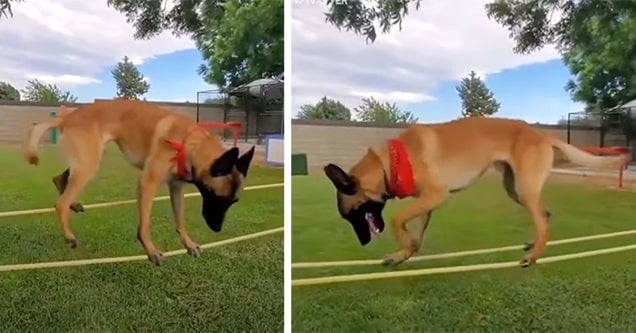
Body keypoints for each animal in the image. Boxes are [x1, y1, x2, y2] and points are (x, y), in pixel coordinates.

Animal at [22, 98, 256, 264]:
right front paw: (151, 250)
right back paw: (69, 233)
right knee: (60, 203)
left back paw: (73, 202)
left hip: (90, 159)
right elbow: (145, 224)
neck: (189, 143)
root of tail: (68, 117)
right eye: (216, 196)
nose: (217, 229)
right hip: (89, 164)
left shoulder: (176, 188)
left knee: (59, 179)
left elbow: (180, 221)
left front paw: (188, 244)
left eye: (233, 202)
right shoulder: (148, 183)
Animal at [322, 116, 628, 268]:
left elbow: (398, 220)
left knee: (542, 220)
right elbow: (417, 232)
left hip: (524, 189)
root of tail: (541, 134)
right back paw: (533, 246)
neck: (392, 162)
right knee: (545, 214)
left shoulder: (437, 195)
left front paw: (403, 248)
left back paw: (533, 256)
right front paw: (404, 254)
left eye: (352, 214)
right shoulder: (427, 201)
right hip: (515, 189)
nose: (363, 243)